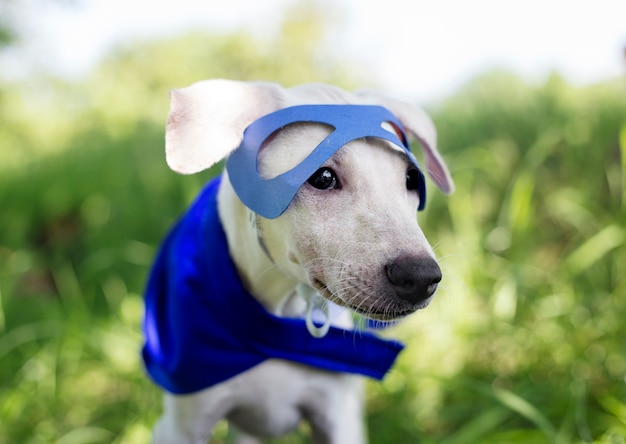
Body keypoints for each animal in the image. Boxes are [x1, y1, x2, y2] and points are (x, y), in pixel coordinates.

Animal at [143, 78, 454, 442]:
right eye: (323, 178)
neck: (277, 325)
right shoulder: (181, 427)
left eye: (411, 179)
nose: (421, 277)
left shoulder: (337, 417)